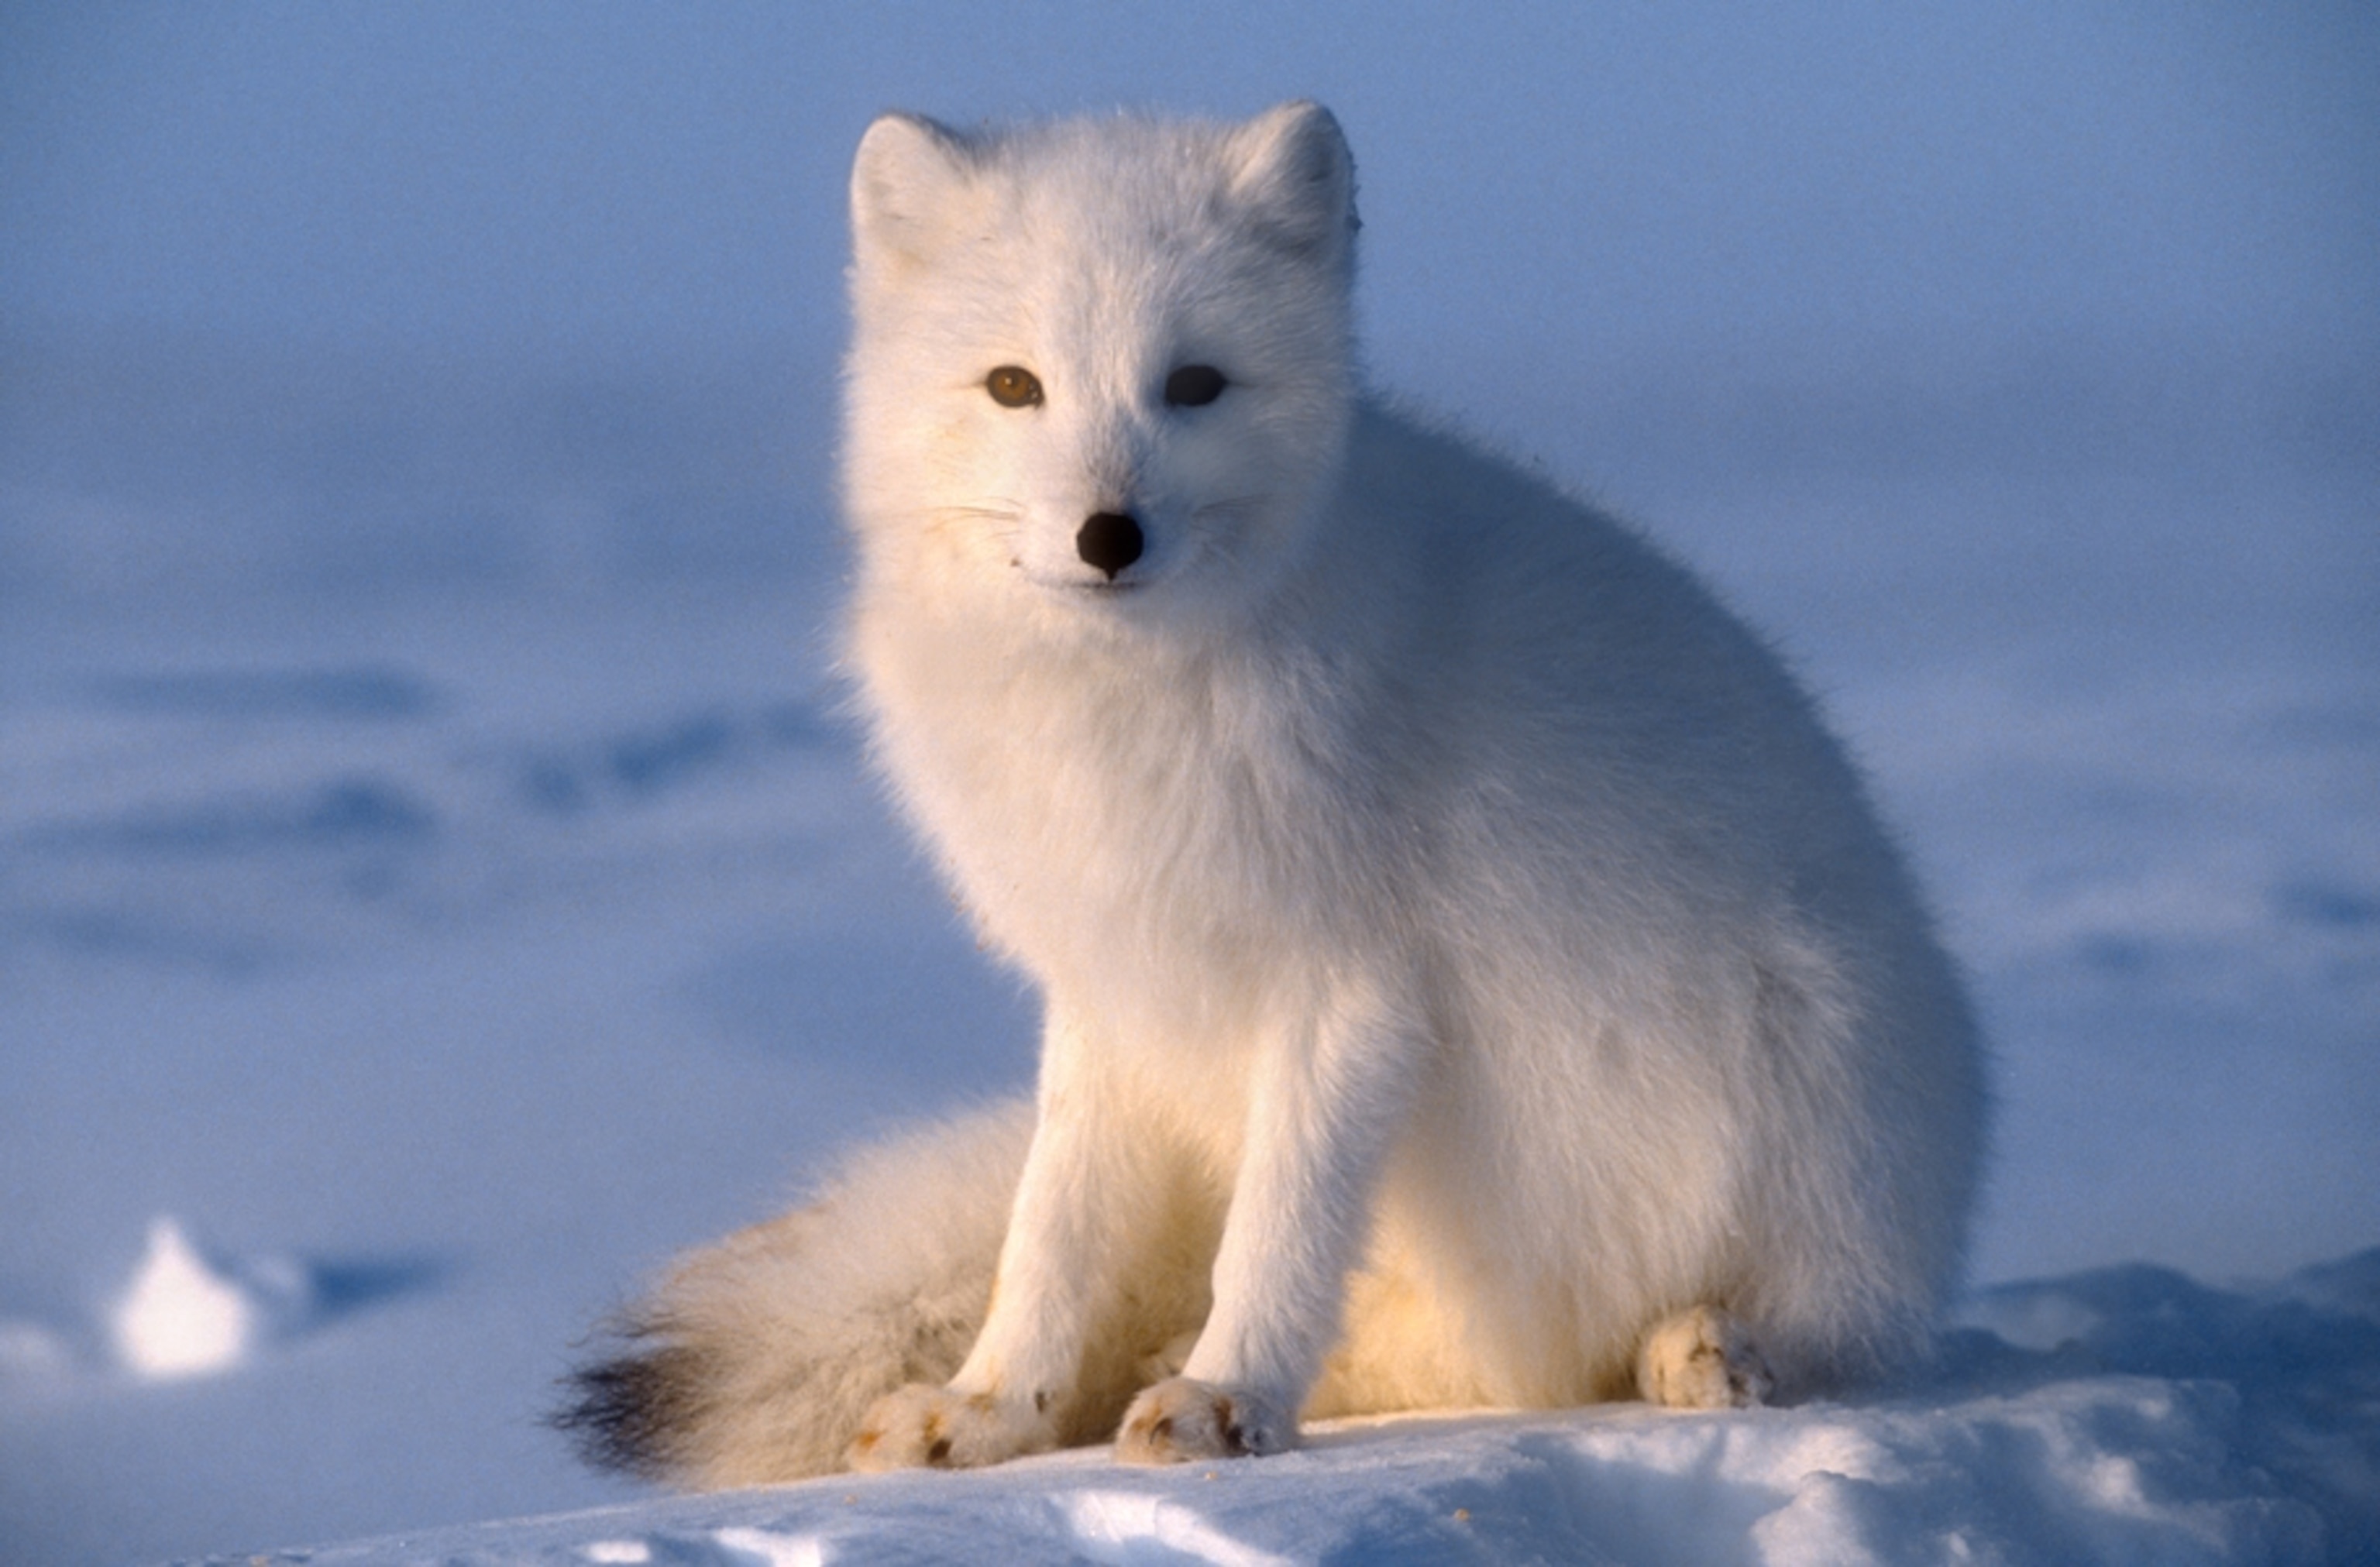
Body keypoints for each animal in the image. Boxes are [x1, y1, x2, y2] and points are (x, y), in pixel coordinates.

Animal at [556, 104, 1990, 1493]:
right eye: (1015, 385)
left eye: (1193, 384)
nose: (1107, 535)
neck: (1125, 713)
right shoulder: (1110, 989)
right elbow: (1050, 1232)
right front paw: (992, 1410)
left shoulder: (1348, 987)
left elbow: (1279, 1230)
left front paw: (1224, 1397)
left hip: (1813, 1078)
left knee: (1802, 1330)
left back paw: (1705, 1345)